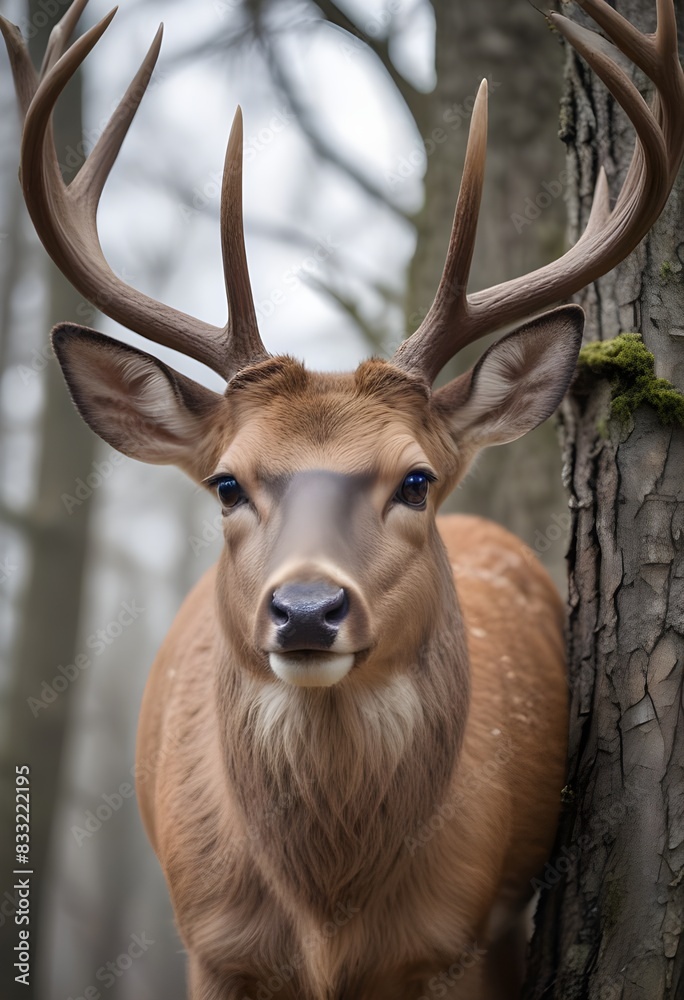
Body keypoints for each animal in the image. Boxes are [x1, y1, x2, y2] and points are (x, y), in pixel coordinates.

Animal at [3, 0, 683, 996]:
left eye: (416, 479)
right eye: (227, 483)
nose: (307, 610)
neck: (326, 916)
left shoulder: (456, 939)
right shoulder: (212, 943)